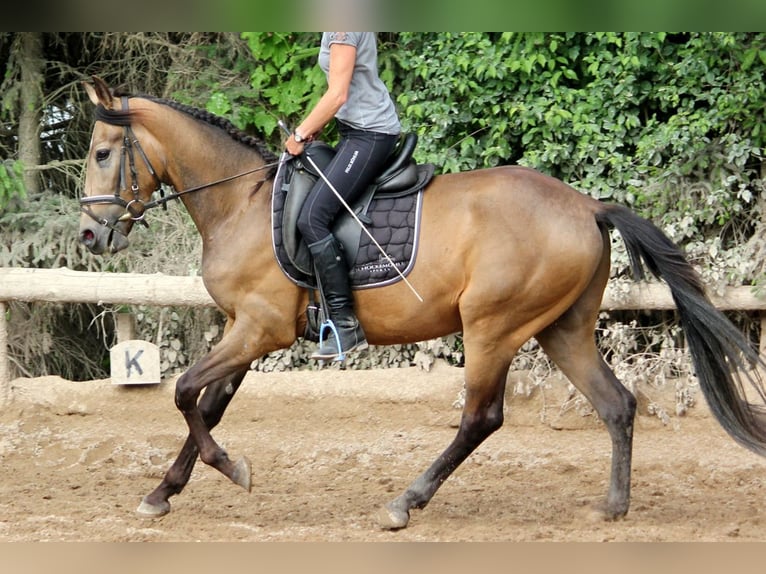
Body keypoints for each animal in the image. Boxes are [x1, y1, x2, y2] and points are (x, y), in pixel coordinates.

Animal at [78, 75, 766, 532]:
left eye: (103, 154)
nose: (89, 236)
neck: (240, 204)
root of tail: (589, 206)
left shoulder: (258, 329)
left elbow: (184, 393)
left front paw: (230, 469)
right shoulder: (243, 330)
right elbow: (207, 405)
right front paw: (163, 492)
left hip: (492, 326)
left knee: (481, 418)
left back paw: (404, 503)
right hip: (562, 329)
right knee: (617, 403)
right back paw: (613, 506)